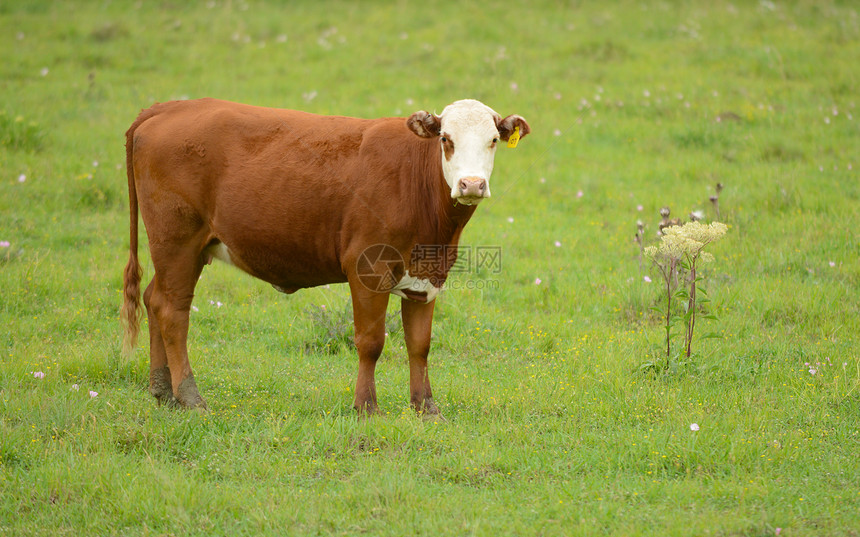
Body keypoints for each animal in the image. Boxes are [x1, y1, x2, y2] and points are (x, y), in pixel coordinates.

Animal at [119, 97, 524, 414]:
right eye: (445, 139)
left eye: (492, 140)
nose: (472, 184)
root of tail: (169, 107)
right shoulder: (366, 267)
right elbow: (371, 342)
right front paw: (367, 407)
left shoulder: (425, 277)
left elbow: (419, 345)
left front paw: (426, 409)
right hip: (177, 240)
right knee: (173, 310)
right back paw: (190, 398)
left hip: (183, 249)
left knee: (154, 298)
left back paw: (163, 391)